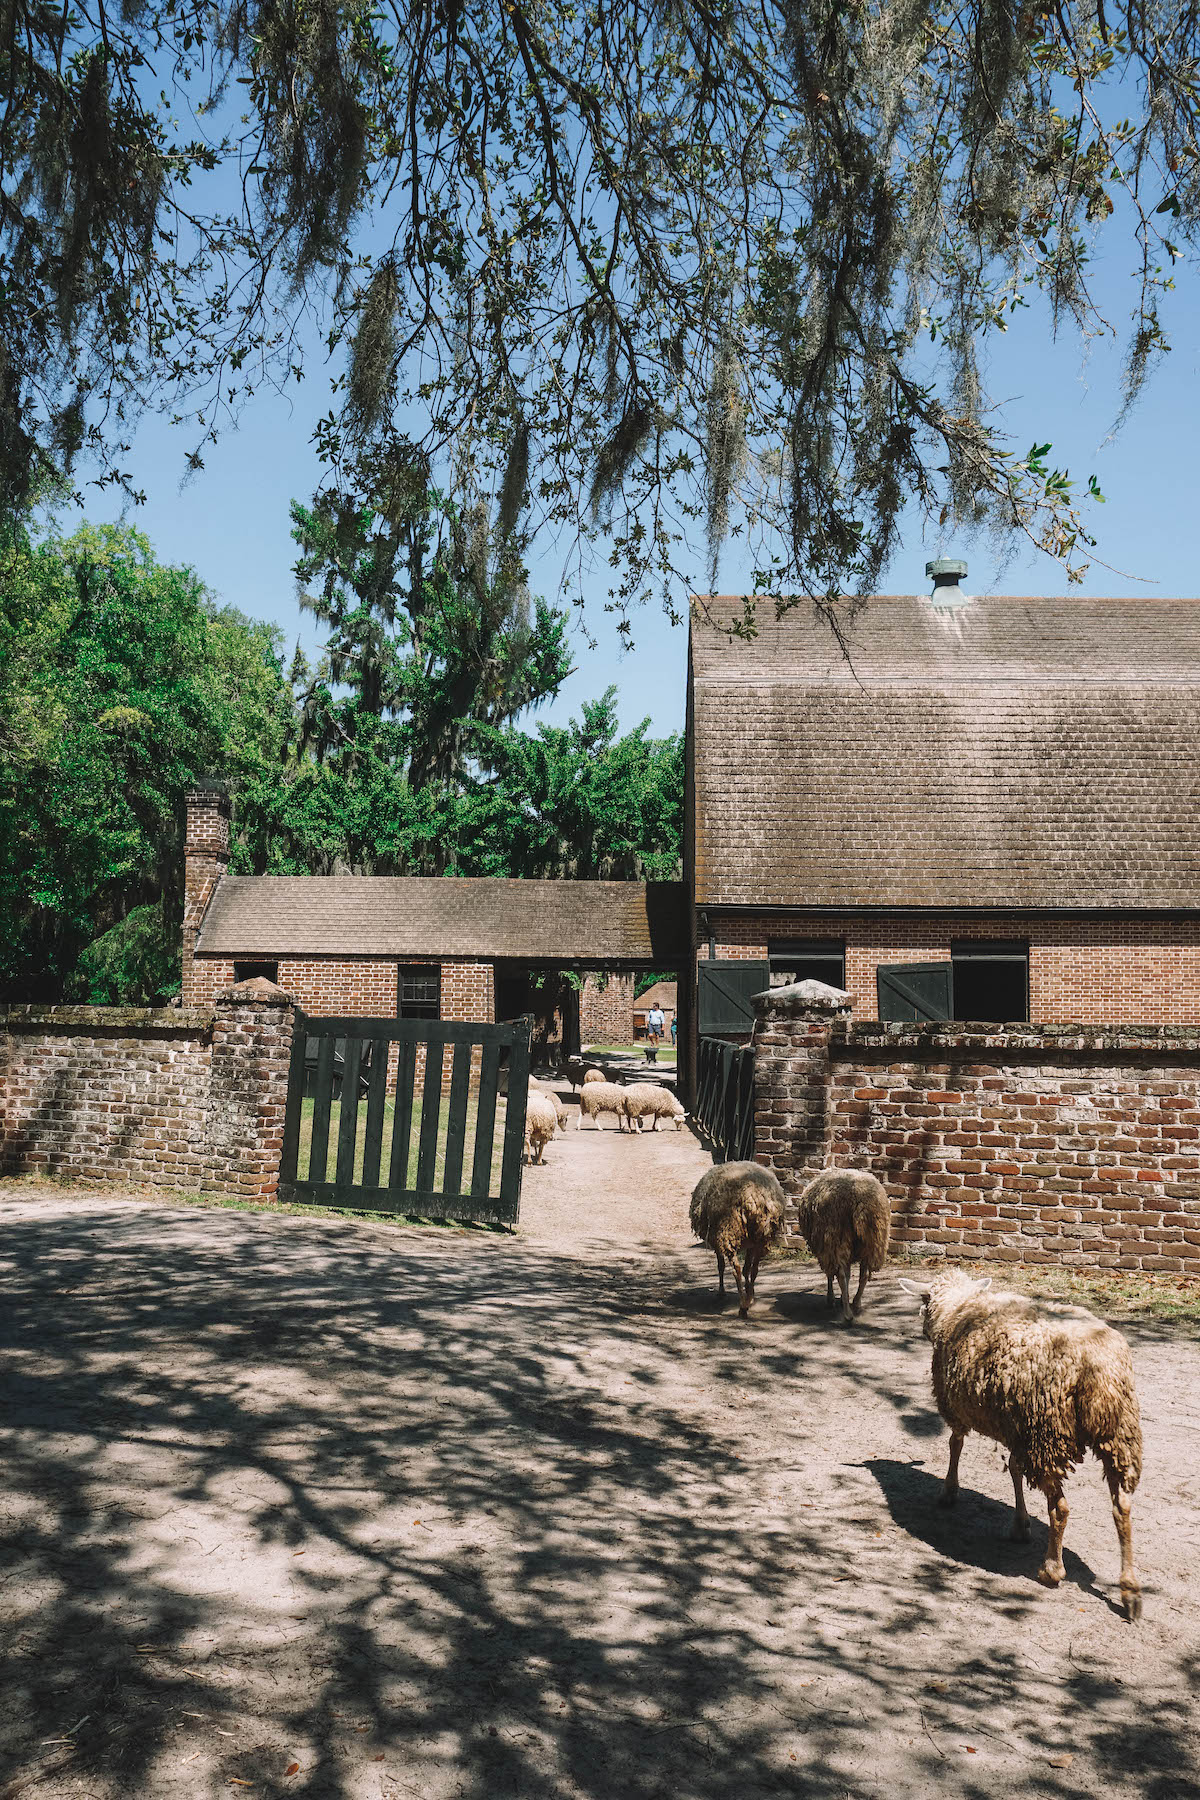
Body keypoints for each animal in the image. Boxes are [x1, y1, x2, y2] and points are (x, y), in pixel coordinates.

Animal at [683, 1159, 788, 1317]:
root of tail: (752, 1199)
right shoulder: (750, 1244)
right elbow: (747, 1269)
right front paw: (750, 1292)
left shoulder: (717, 1240)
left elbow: (721, 1266)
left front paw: (721, 1292)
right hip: (762, 1237)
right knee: (754, 1269)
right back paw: (749, 1298)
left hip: (728, 1231)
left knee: (736, 1269)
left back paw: (743, 1307)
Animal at [798, 1166, 892, 1324]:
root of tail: (860, 1200)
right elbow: (849, 1275)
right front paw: (843, 1298)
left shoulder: (826, 1247)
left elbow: (833, 1275)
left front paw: (832, 1299)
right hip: (872, 1243)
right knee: (864, 1276)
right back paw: (856, 1304)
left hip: (836, 1238)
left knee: (840, 1275)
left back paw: (848, 1315)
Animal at [899, 1274, 1144, 1627]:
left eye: (923, 1298)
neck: (959, 1305)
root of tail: (1095, 1367)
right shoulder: (1015, 1428)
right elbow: (1014, 1469)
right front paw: (1020, 1524)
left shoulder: (958, 1408)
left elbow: (955, 1444)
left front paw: (949, 1491)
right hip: (1118, 1433)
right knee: (1121, 1508)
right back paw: (1130, 1591)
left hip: (1047, 1434)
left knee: (1061, 1509)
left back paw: (1051, 1570)